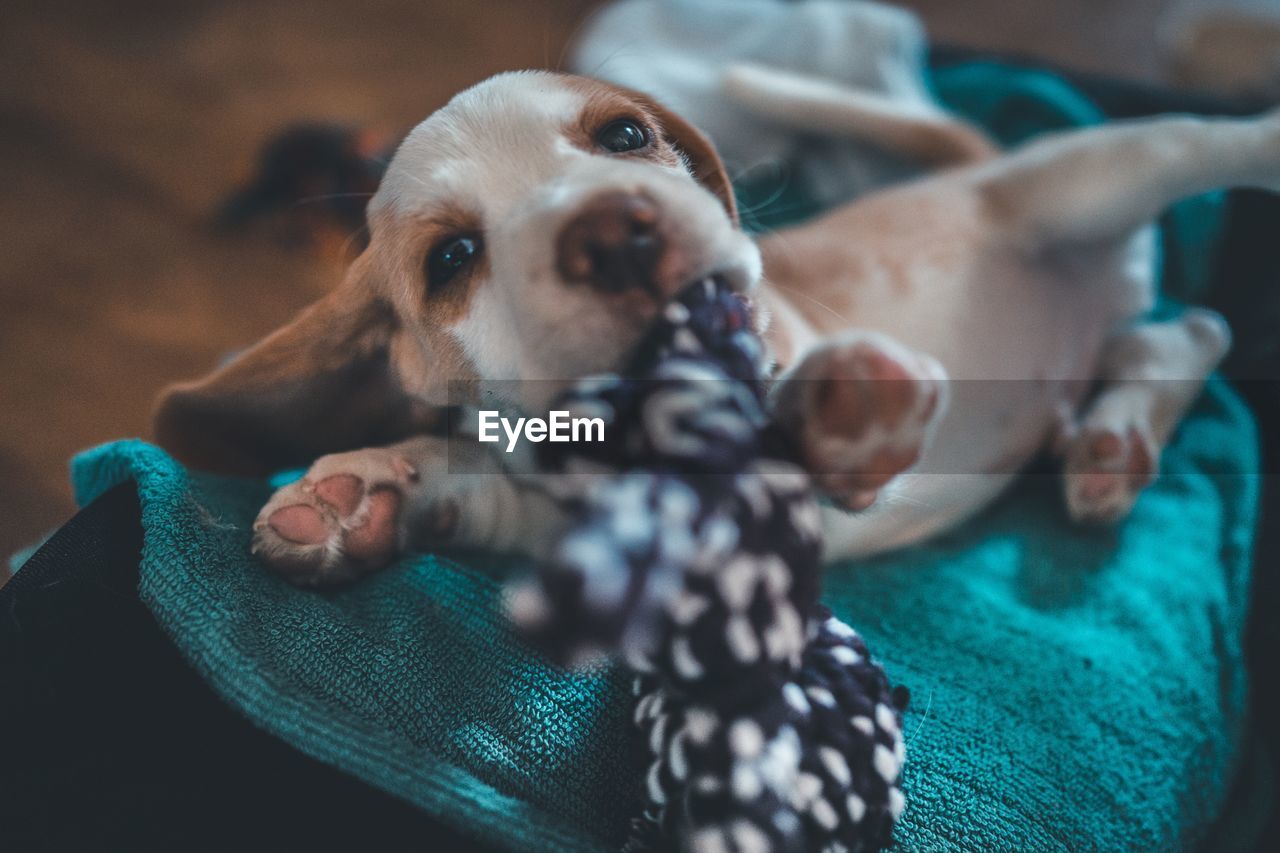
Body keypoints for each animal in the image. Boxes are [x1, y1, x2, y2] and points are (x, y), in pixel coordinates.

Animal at [154, 69, 1274, 581]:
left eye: (625, 135)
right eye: (453, 259)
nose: (613, 232)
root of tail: (979, 167)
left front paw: (838, 418)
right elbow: (465, 475)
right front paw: (362, 496)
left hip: (1088, 178)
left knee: (1197, 149)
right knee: (1182, 332)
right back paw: (1109, 444)